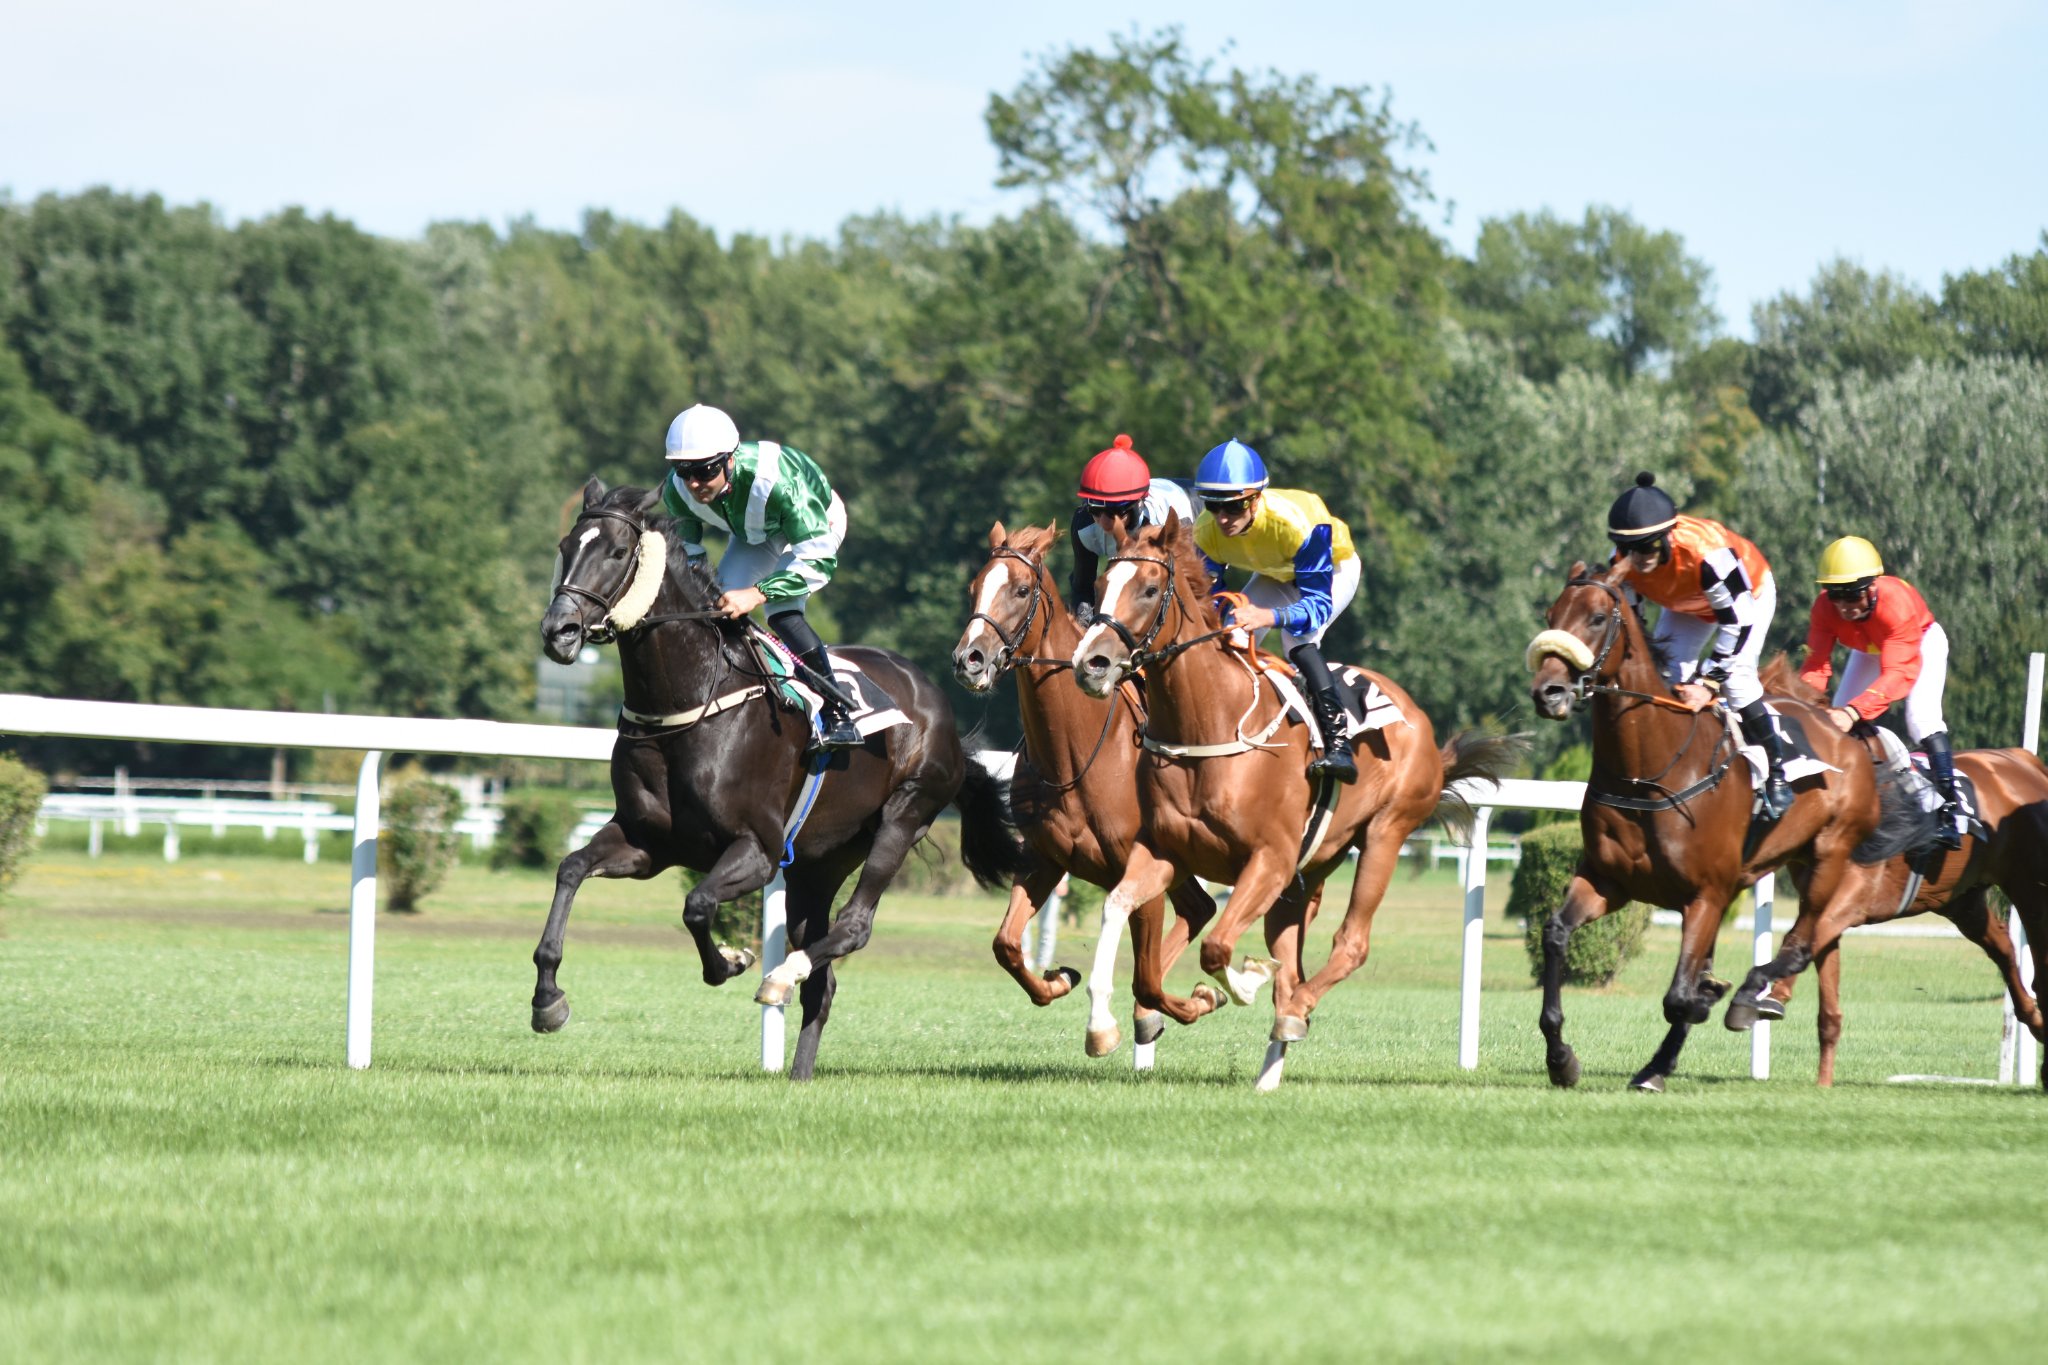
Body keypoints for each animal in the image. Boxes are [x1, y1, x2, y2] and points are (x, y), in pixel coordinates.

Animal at [536, 480, 1015, 1080]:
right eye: (565, 546)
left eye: (619, 553)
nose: (559, 631)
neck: (691, 699)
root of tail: (936, 702)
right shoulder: (648, 842)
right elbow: (571, 869)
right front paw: (548, 999)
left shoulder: (758, 849)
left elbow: (697, 905)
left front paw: (731, 961)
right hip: (818, 863)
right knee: (823, 982)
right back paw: (799, 1069)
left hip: (904, 815)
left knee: (854, 927)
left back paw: (780, 976)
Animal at [946, 523, 1212, 1047]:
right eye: (973, 588)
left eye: (1021, 590)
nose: (970, 660)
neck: (1076, 750)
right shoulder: (1045, 859)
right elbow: (1006, 944)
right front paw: (1058, 980)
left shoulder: (1142, 871)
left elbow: (1146, 976)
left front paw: (1142, 1017)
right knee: (1200, 909)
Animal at [1064, 509, 1515, 1088]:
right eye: (1100, 587)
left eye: (1147, 588)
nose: (1091, 664)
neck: (1208, 722)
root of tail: (1419, 721)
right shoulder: (1165, 852)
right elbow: (1120, 913)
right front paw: (1106, 1026)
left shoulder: (1269, 861)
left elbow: (1217, 947)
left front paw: (1242, 982)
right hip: (1305, 878)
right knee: (1294, 969)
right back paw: (1269, 1070)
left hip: (1384, 833)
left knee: (1348, 946)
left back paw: (1294, 1012)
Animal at [1523, 560, 1933, 1096]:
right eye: (1551, 615)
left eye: (1595, 618)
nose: (1547, 692)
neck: (1649, 770)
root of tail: (1842, 727)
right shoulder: (1609, 882)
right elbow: (1555, 934)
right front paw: (1561, 1059)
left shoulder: (1706, 895)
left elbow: (1680, 995)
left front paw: (1706, 999)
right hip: (1793, 863)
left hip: (1829, 853)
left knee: (1803, 941)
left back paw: (1749, 996)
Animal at [1720, 663, 2048, 1088]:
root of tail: (2022, 760)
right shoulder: (1823, 900)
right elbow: (1826, 1002)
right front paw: (1822, 1082)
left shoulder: (1850, 901)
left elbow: (1800, 943)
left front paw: (1763, 996)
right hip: (1961, 900)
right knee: (2003, 948)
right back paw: (2034, 1018)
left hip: (2028, 885)